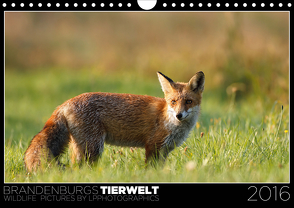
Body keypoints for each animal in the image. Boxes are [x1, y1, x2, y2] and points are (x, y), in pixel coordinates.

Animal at [24, 70, 204, 171]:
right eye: (173, 102)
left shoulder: (164, 150)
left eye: (188, 101)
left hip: (83, 147)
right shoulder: (152, 146)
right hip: (94, 147)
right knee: (80, 168)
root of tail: (64, 103)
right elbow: (150, 170)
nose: (179, 115)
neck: (168, 119)